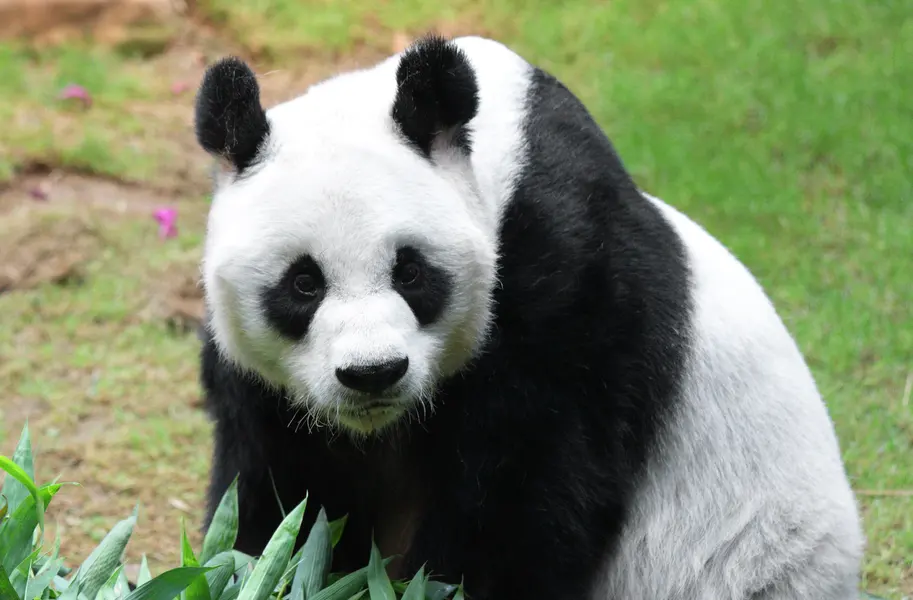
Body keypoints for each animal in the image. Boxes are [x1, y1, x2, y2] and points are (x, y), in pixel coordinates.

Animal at [193, 34, 864, 600]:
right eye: (304, 284)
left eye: (410, 272)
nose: (373, 372)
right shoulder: (265, 392)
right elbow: (278, 498)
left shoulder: (568, 290)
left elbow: (524, 500)